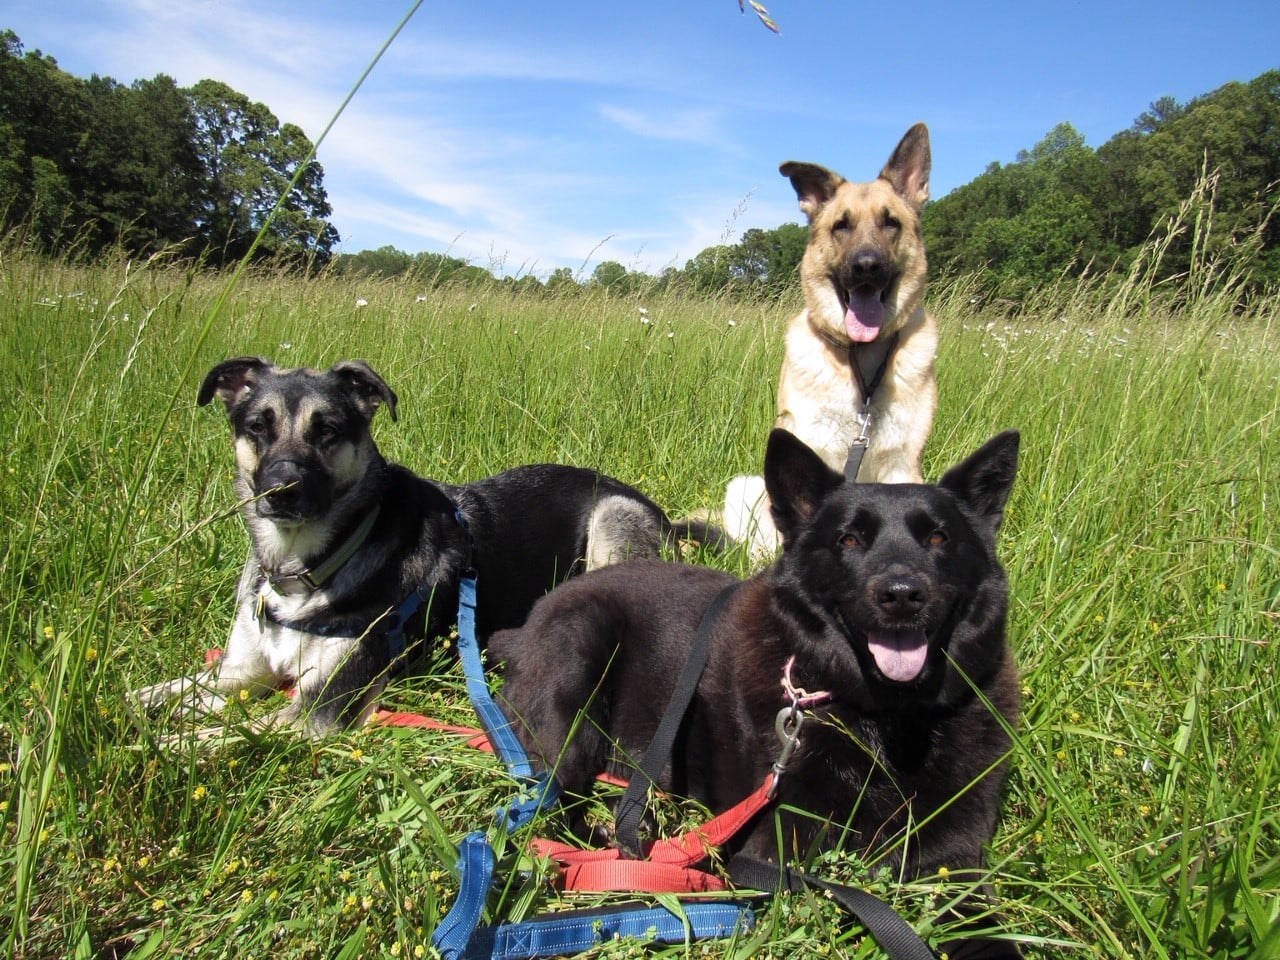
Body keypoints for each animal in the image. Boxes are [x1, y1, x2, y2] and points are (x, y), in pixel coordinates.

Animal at [132, 358, 711, 737]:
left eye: (329, 430)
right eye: (257, 427)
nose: (281, 489)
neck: (306, 570)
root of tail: (659, 510)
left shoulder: (316, 713)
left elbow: (210, 738)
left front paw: (145, 751)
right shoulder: (241, 674)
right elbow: (165, 694)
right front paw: (122, 714)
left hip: (613, 519)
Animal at [494, 430, 1024, 960]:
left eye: (938, 538)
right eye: (849, 539)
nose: (901, 595)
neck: (885, 720)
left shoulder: (958, 864)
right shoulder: (776, 855)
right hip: (573, 678)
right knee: (547, 806)